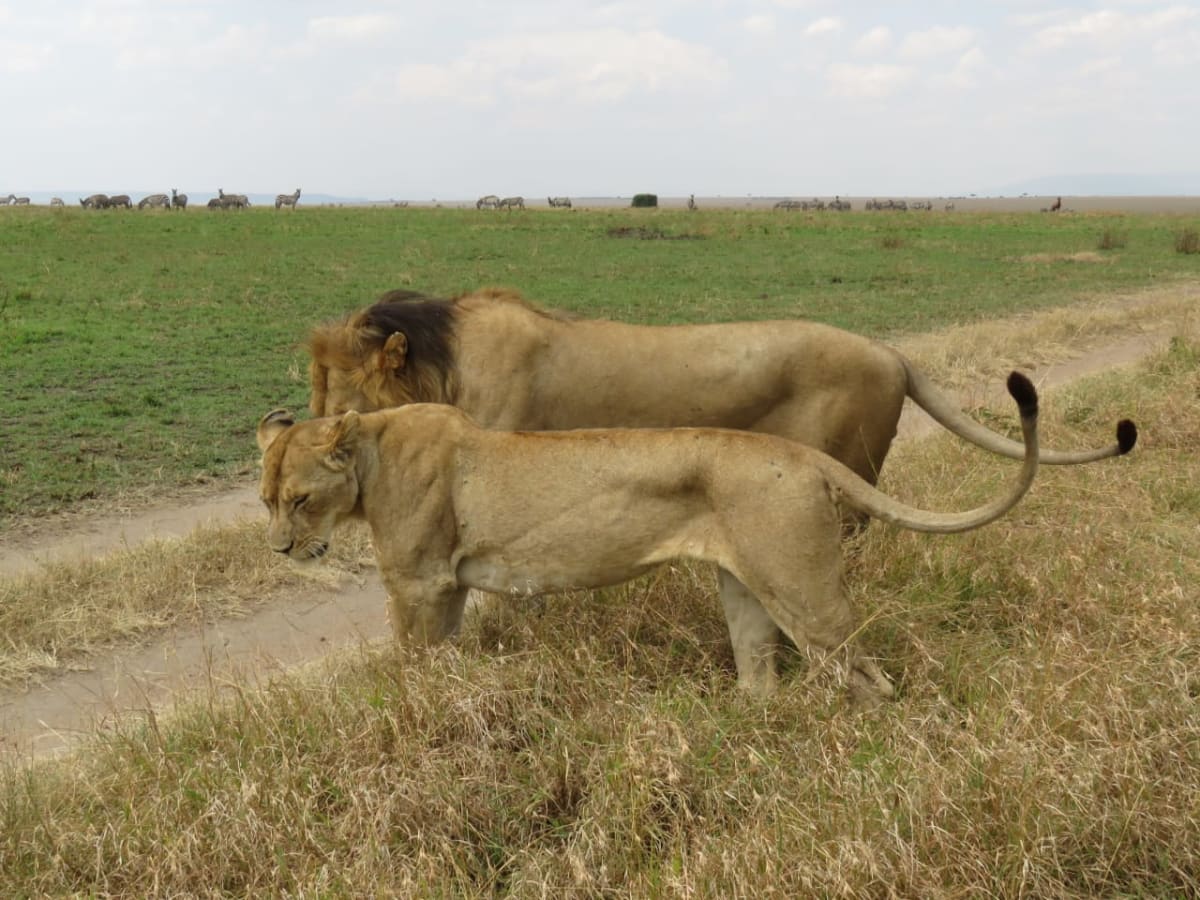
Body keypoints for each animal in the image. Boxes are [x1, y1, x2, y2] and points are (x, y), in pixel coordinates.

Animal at [257, 372, 1081, 699]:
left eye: (300, 500)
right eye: (265, 501)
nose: (280, 551)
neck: (371, 453)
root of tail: (802, 456)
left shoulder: (421, 584)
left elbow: (411, 665)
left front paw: (413, 709)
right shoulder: (449, 587)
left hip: (803, 589)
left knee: (871, 681)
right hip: (746, 591)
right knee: (761, 682)